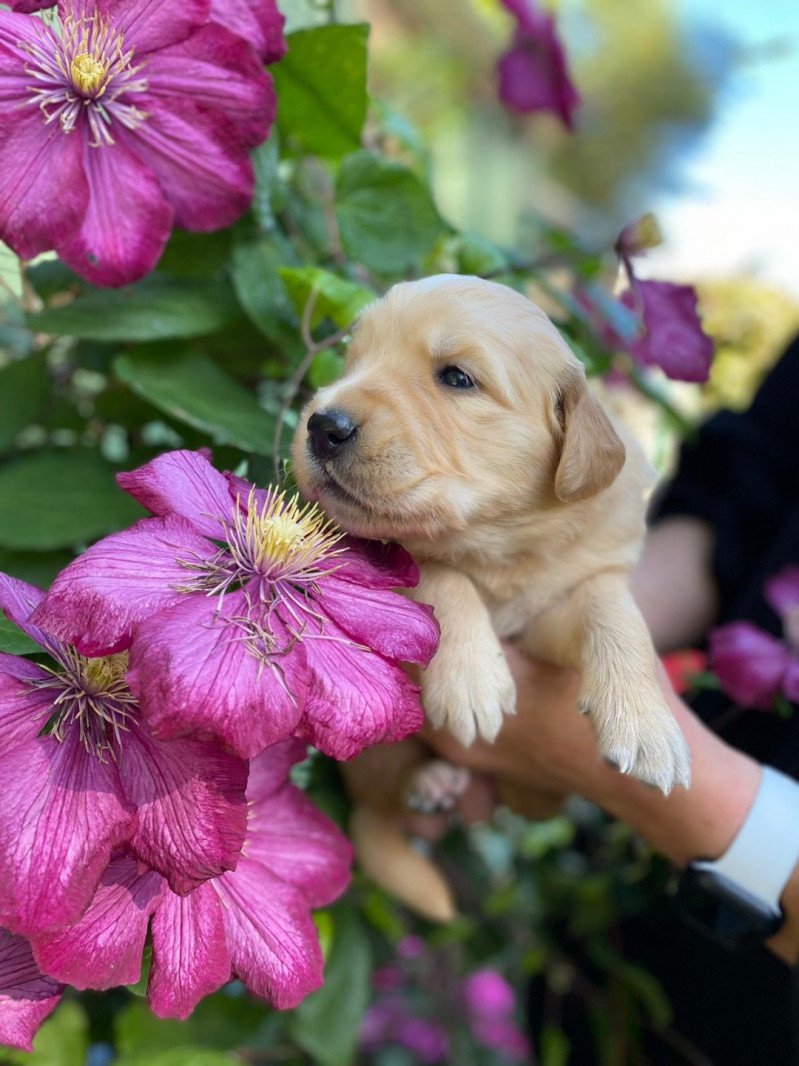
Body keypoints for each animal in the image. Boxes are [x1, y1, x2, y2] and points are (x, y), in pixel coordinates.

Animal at [291, 272, 690, 793]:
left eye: (457, 378)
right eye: (353, 359)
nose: (321, 425)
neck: (499, 545)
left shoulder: (551, 613)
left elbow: (614, 609)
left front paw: (648, 726)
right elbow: (439, 572)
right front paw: (470, 680)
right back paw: (429, 783)